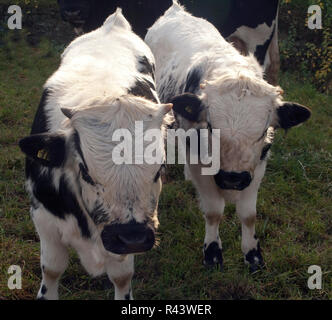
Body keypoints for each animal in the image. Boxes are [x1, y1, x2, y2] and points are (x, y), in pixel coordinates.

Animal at [19, 10, 172, 300]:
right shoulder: (43, 219)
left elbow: (122, 277)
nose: (132, 237)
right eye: (85, 172)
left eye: (159, 170)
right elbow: (51, 270)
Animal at [145, 1, 312, 272]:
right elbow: (214, 211)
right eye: (211, 126)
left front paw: (253, 256)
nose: (233, 178)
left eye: (263, 131)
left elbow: (248, 214)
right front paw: (212, 254)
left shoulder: (257, 166)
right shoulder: (201, 164)